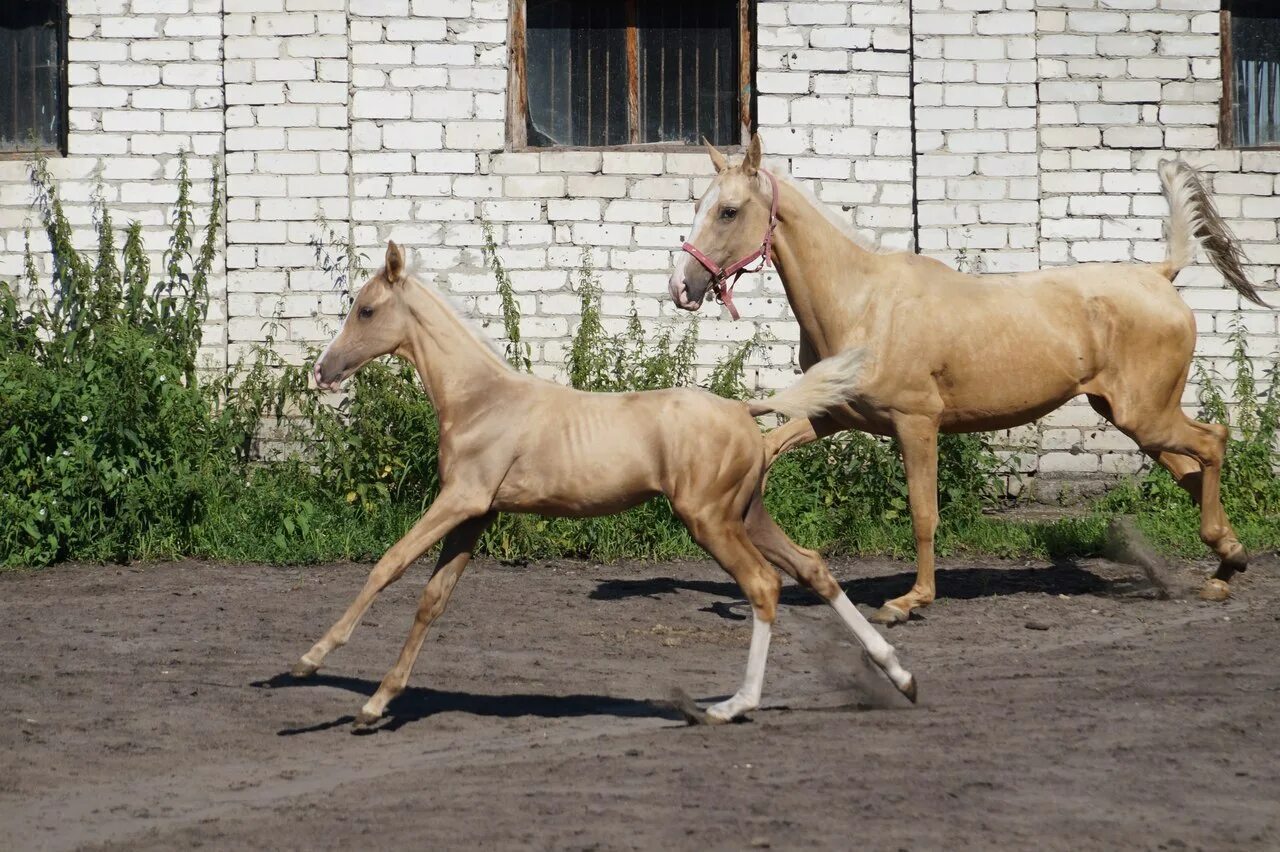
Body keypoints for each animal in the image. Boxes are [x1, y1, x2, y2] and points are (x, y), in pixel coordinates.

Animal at [293, 239, 916, 721]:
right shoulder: (478, 513)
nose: (323, 371)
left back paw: (734, 705)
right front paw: (377, 703)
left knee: (764, 586)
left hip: (709, 519)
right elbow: (432, 599)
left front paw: (311, 659)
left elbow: (388, 564)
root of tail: (743, 409)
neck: (479, 400)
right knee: (812, 567)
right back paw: (900, 676)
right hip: (746, 513)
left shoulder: (459, 500)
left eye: (366, 310)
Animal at [670, 134, 1269, 624]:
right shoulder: (833, 415)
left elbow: (923, 513)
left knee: (1212, 443)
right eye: (698, 205)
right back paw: (1225, 567)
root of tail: (1160, 276)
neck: (863, 302)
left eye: (728, 211)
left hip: (1145, 414)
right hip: (1131, 418)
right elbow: (769, 450)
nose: (683, 287)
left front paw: (909, 602)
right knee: (1192, 471)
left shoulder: (916, 423)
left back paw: (1226, 561)